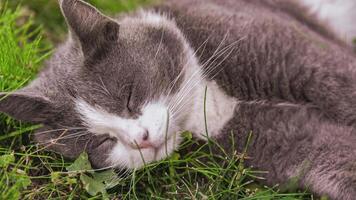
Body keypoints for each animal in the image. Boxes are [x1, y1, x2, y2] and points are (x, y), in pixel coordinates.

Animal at [0, 0, 356, 199]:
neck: (206, 103)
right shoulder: (282, 139)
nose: (142, 139)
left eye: (129, 96)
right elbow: (334, 159)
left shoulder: (309, 62)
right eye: (100, 142)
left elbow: (344, 88)